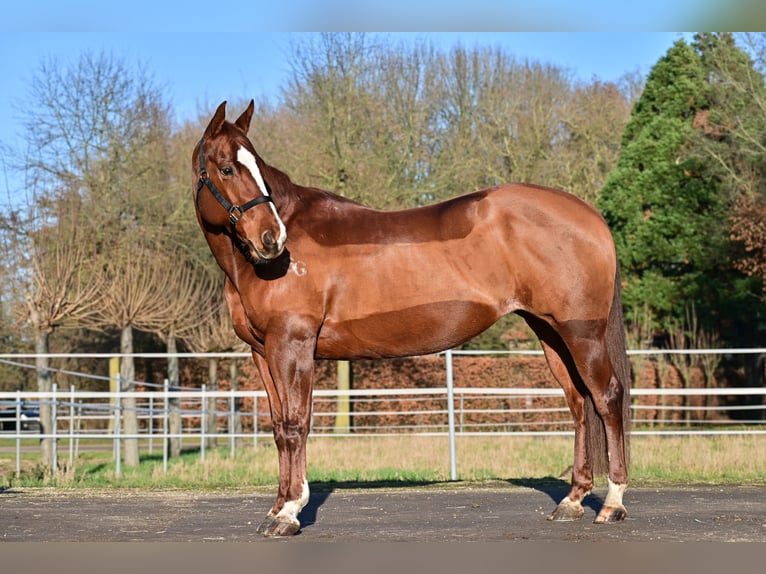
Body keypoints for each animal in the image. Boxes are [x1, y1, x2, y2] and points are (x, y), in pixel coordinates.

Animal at [192, 100, 631, 537]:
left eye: (256, 168)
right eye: (227, 168)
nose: (273, 239)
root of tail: (589, 215)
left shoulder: (292, 345)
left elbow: (296, 423)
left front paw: (289, 512)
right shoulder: (262, 352)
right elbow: (279, 427)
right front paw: (277, 508)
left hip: (582, 334)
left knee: (607, 397)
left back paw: (612, 504)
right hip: (550, 332)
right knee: (579, 403)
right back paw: (572, 501)